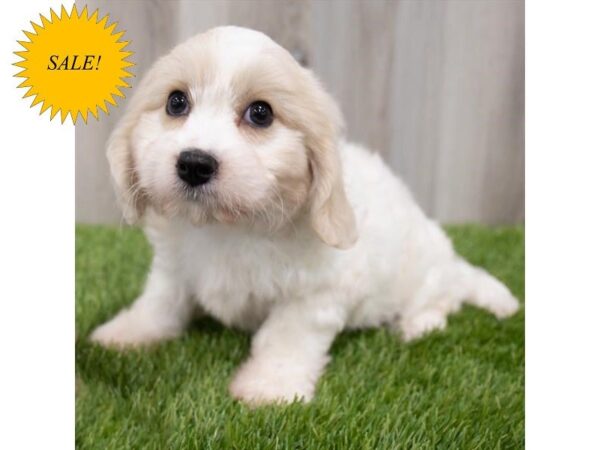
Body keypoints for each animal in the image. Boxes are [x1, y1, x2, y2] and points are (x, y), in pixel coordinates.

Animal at [90, 26, 520, 406]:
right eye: (176, 102)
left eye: (260, 113)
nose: (194, 163)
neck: (229, 226)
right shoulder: (173, 267)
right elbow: (161, 302)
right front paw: (128, 332)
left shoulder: (316, 293)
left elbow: (285, 337)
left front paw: (268, 387)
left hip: (425, 269)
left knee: (441, 298)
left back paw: (418, 325)